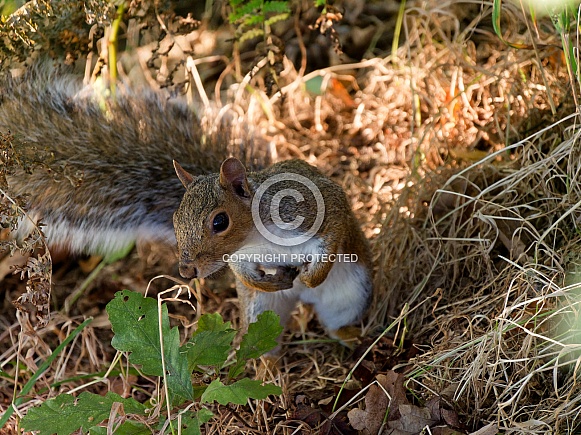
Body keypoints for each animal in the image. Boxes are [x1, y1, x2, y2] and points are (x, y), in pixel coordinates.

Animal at [2, 70, 372, 344]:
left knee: (336, 322)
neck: (256, 236)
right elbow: (244, 273)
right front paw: (270, 280)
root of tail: (305, 304)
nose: (186, 270)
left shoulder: (314, 208)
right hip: (261, 312)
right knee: (262, 340)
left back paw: (347, 332)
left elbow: (334, 228)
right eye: (175, 220)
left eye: (220, 222)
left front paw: (312, 276)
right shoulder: (241, 257)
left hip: (351, 293)